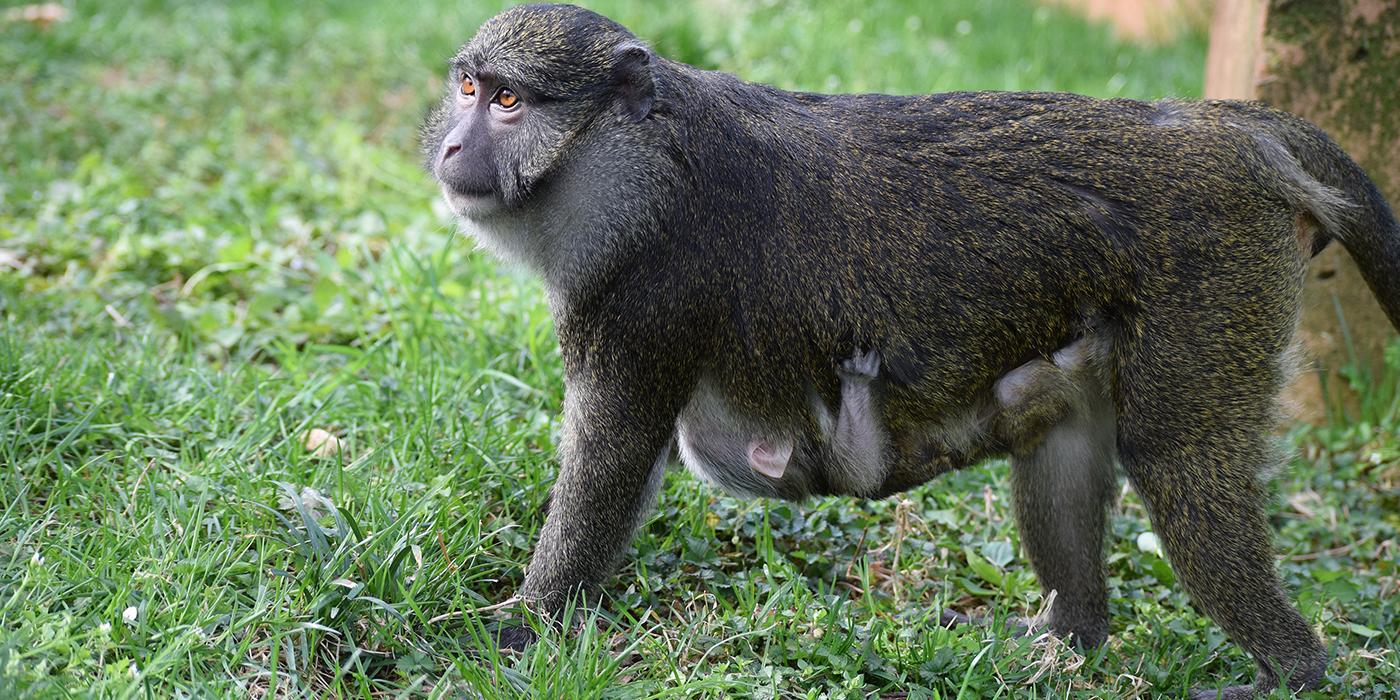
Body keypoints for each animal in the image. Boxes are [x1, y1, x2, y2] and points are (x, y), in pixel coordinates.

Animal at [422, 4, 1400, 694]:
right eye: (469, 88)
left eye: (509, 100)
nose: (454, 145)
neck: (646, 163)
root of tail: (1226, 130)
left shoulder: (646, 298)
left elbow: (611, 457)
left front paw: (518, 624)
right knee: (1066, 434)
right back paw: (1070, 636)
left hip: (1214, 286)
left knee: (1180, 458)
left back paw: (1293, 671)